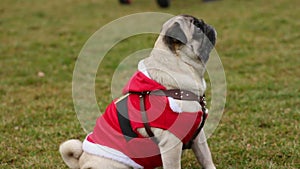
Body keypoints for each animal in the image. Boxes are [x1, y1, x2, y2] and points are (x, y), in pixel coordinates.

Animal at [59, 14, 217, 169]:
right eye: (197, 26)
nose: (208, 25)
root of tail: (80, 161)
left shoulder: (199, 136)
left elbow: (206, 158)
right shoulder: (171, 144)